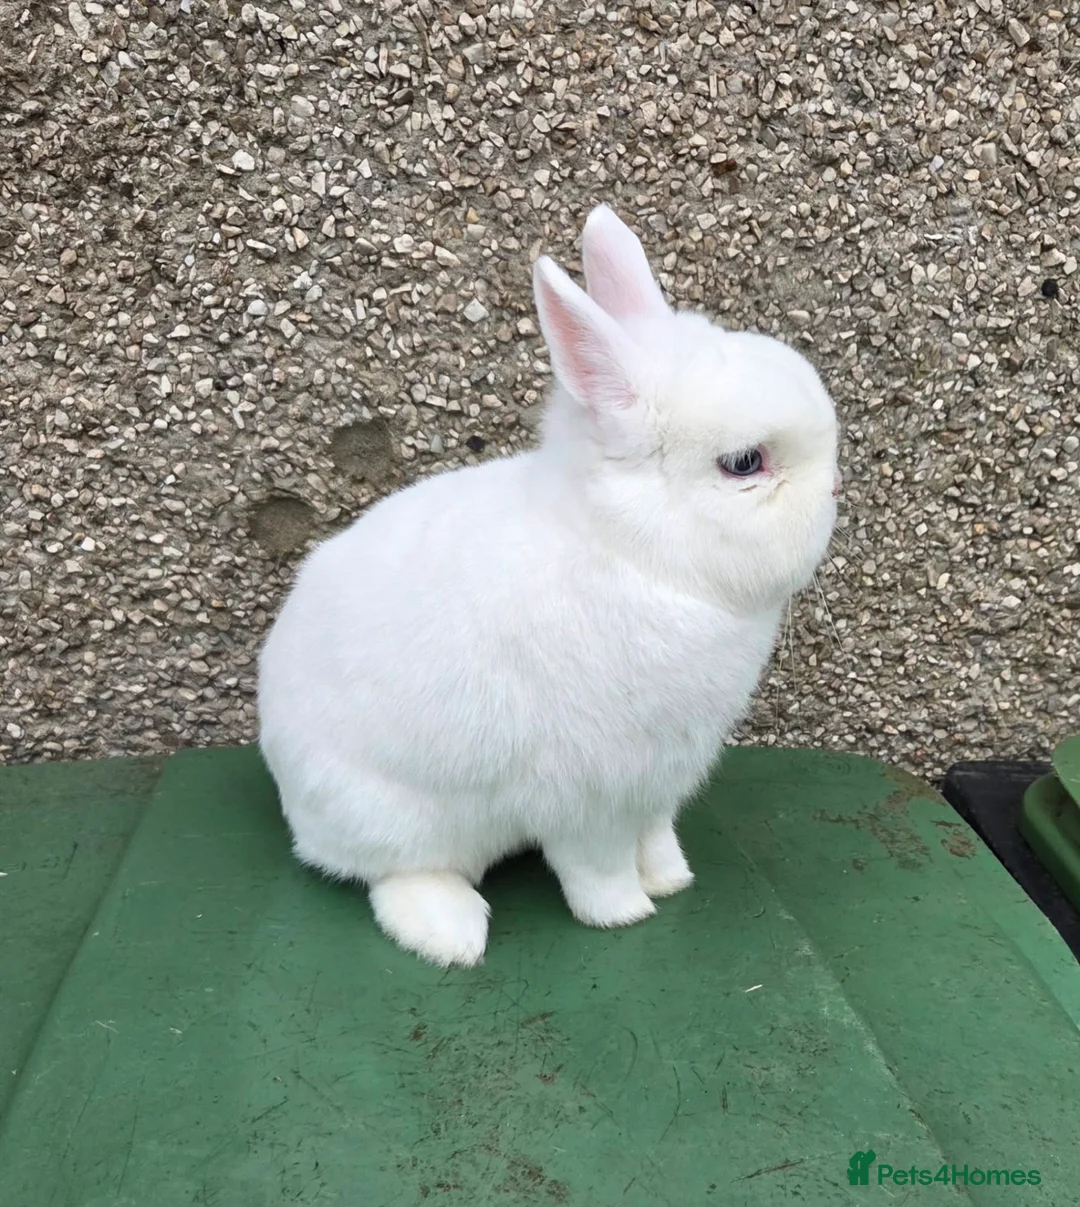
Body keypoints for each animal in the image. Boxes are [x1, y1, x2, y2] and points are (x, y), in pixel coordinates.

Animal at [258, 204, 839, 968]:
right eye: (745, 463)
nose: (837, 490)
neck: (633, 554)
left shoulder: (656, 784)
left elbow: (656, 836)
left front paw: (673, 879)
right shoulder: (588, 793)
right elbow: (596, 865)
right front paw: (624, 914)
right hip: (394, 816)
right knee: (393, 873)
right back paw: (450, 934)